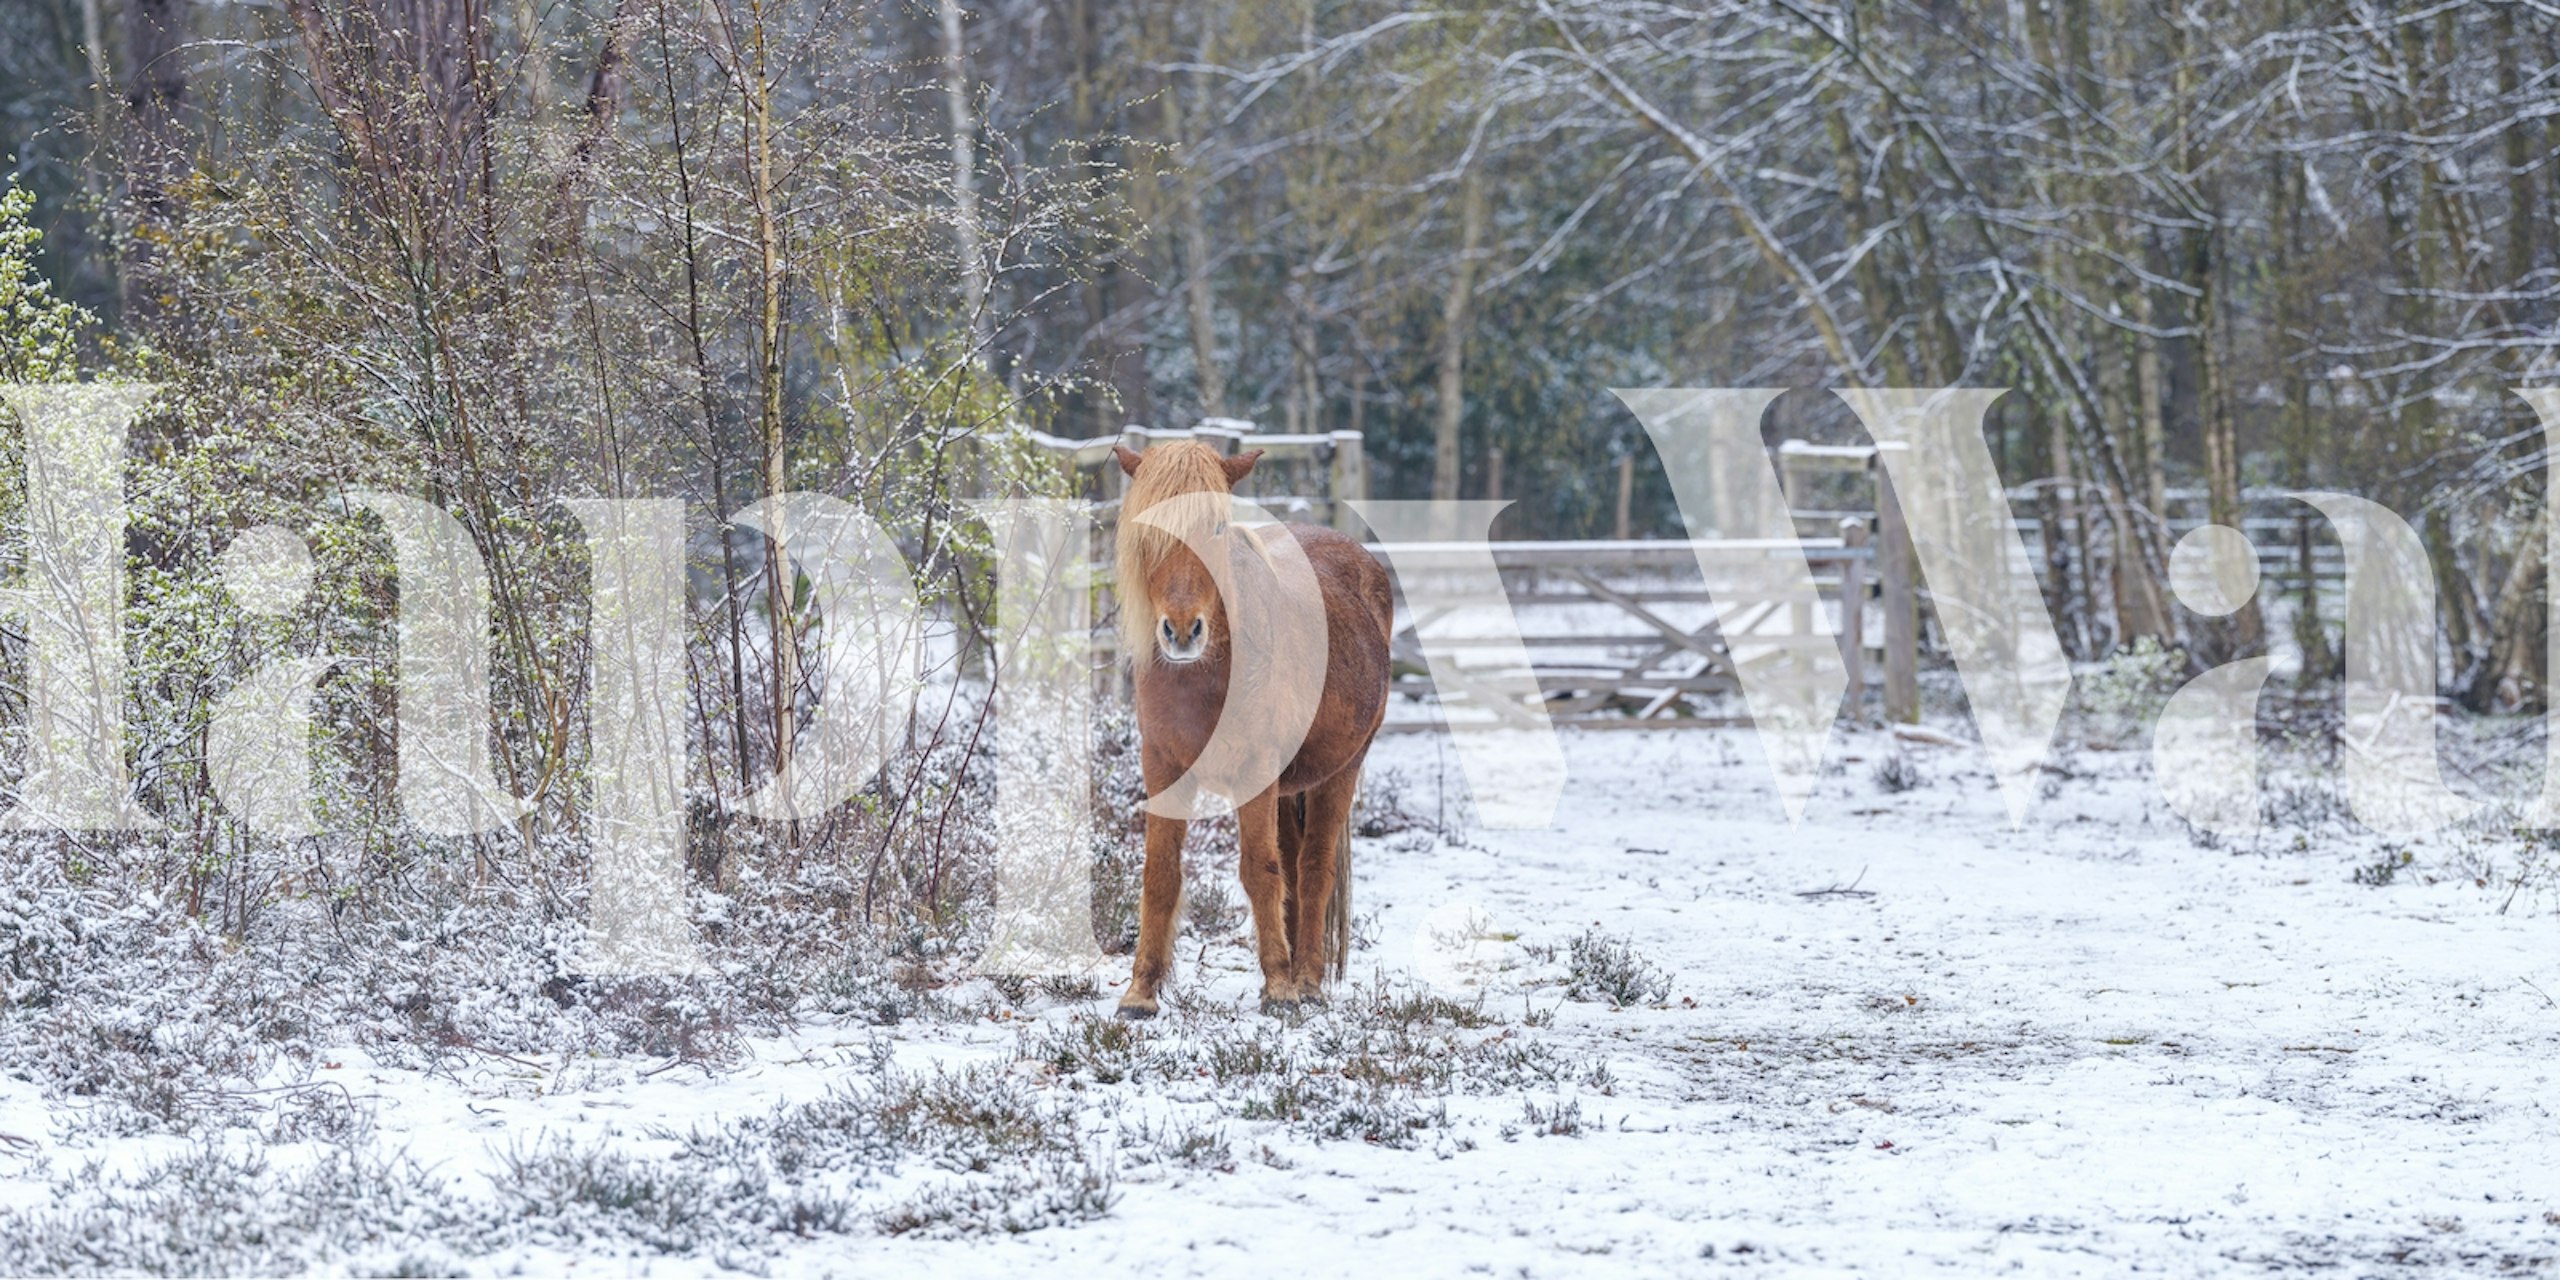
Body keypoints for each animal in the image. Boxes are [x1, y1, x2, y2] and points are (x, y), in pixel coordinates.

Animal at [1109, 440, 1394, 1018]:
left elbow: (1260, 871)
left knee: (1313, 869)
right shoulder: (1162, 767)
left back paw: (1306, 980)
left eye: (1218, 527)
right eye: (1148, 527)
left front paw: (1280, 987)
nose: (1182, 631)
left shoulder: (1255, 774)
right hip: (1286, 790)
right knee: (1294, 866)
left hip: (1341, 771)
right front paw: (1141, 992)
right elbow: (1161, 874)